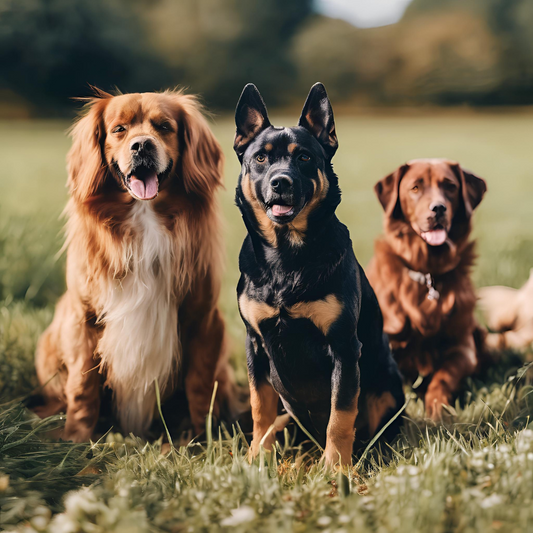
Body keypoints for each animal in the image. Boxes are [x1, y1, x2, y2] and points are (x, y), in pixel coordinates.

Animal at [33, 88, 233, 440]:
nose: (142, 146)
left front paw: (200, 439)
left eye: (164, 127)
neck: (145, 218)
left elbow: (199, 387)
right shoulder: (83, 319)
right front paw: (76, 439)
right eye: (119, 129)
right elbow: (83, 387)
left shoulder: (204, 320)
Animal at [234, 82, 404, 466]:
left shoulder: (343, 347)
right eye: (261, 158)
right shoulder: (255, 345)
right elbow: (259, 407)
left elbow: (341, 414)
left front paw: (335, 467)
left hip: (388, 386)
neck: (286, 256)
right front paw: (256, 457)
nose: (281, 183)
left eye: (304, 158)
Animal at [366, 158, 486, 420]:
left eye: (450, 186)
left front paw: (437, 409)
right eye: (415, 188)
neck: (428, 270)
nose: (438, 208)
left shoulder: (463, 348)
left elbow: (443, 378)